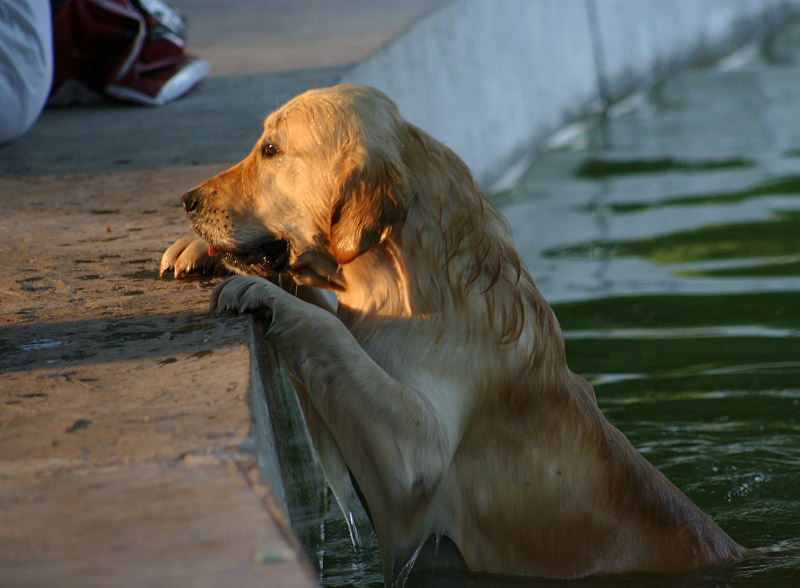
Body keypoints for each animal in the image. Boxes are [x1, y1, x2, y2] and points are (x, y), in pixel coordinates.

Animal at [159, 85, 748, 584]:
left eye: (271, 149)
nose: (186, 200)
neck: (414, 281)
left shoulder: (412, 461)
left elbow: (328, 329)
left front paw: (261, 291)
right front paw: (201, 254)